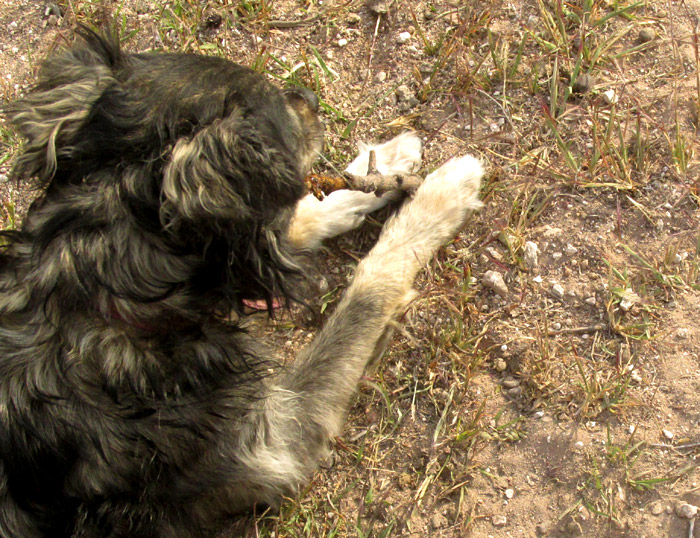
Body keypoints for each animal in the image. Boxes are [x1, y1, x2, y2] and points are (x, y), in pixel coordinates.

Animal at [1, 30, 482, 536]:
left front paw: (384, 163)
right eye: (273, 109)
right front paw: (440, 198)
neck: (99, 279)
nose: (310, 97)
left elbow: (301, 213)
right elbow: (367, 289)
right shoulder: (277, 440)